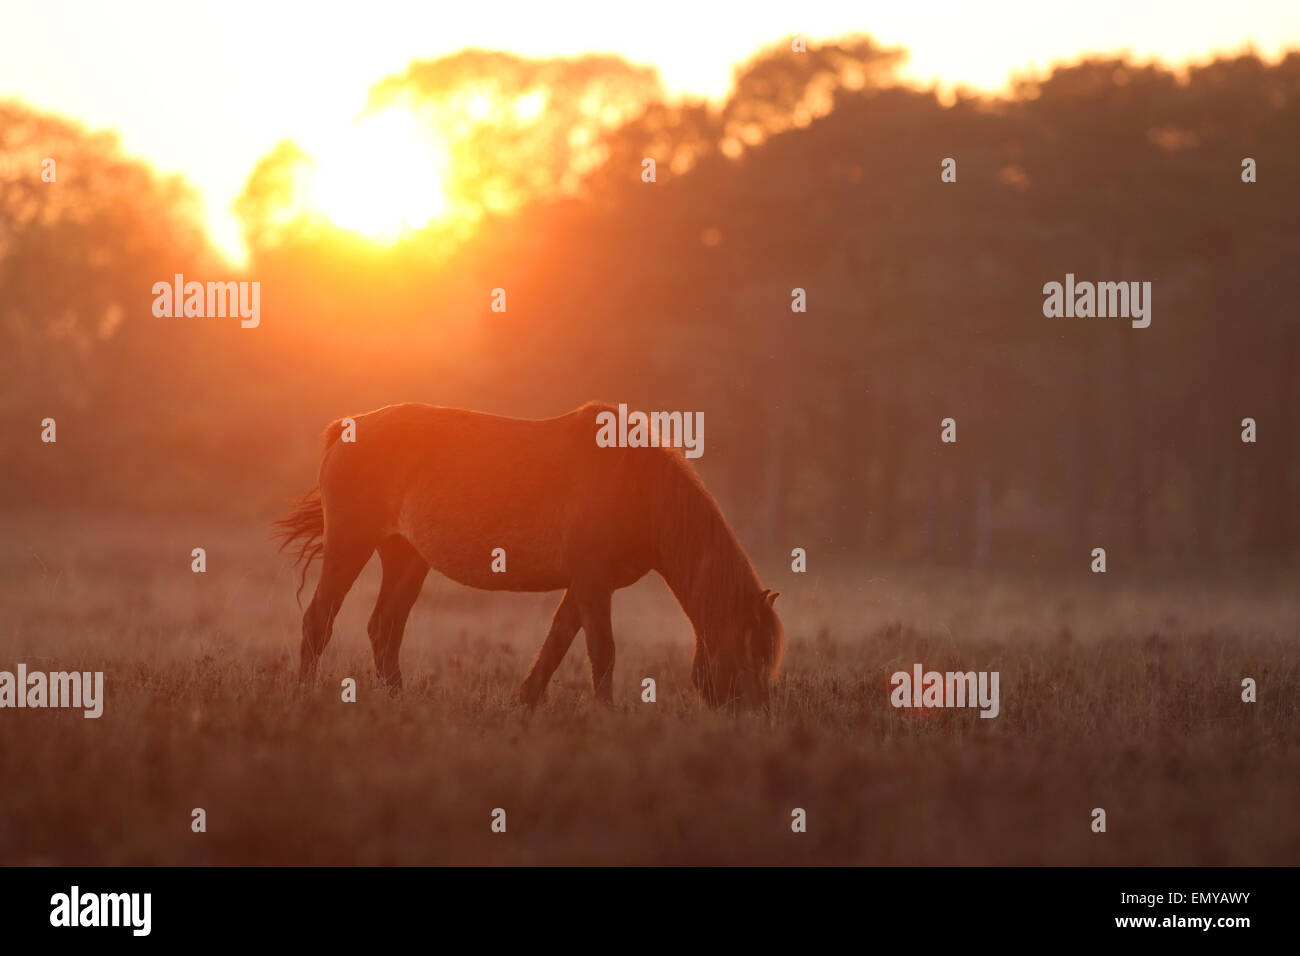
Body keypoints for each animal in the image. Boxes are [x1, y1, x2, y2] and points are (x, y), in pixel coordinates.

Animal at [274, 400, 780, 707]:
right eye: (752, 655)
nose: (755, 716)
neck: (638, 483)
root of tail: (347, 428)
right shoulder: (593, 583)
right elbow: (603, 651)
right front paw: (606, 715)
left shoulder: (586, 585)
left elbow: (557, 643)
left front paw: (524, 703)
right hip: (350, 544)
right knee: (318, 622)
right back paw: (304, 695)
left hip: (406, 557)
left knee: (384, 630)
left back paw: (400, 703)